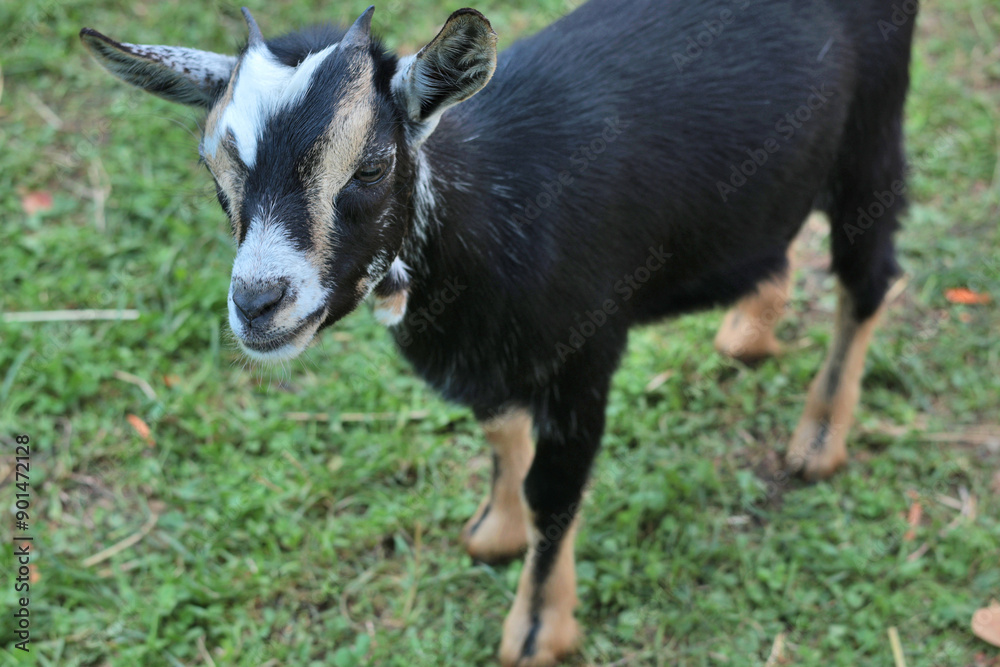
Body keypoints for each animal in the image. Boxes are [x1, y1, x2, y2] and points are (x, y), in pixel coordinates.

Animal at [81, 0, 917, 663]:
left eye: (372, 164)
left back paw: (819, 437)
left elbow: (554, 489)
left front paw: (537, 629)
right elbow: (498, 430)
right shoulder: (486, 354)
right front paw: (496, 528)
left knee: (869, 277)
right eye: (213, 168)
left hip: (873, 132)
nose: (258, 301)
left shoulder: (587, 352)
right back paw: (749, 325)